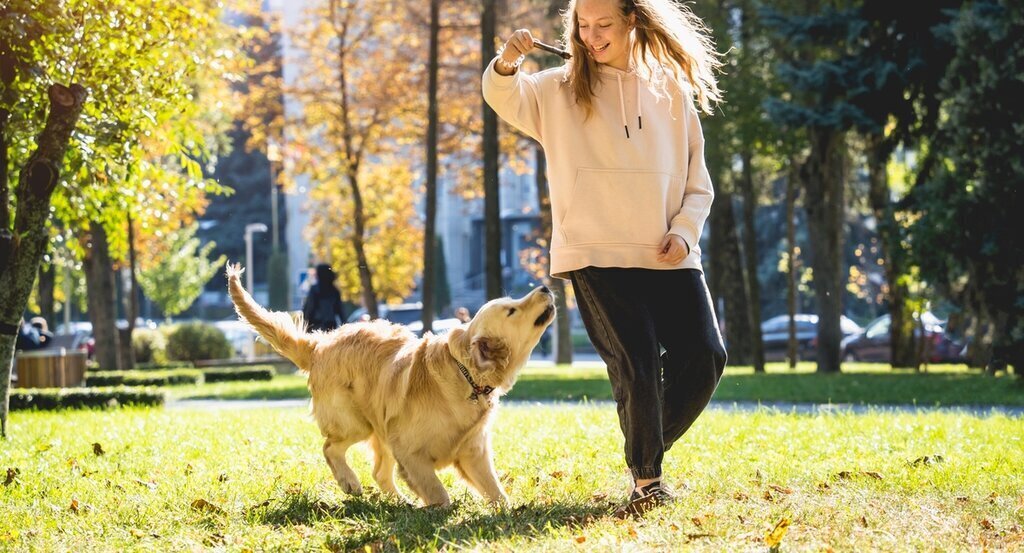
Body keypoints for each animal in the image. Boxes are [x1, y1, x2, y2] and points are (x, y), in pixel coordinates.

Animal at [228, 264, 557, 505]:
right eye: (512, 310)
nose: (544, 287)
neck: (466, 375)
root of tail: (320, 344)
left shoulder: (473, 452)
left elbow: (495, 490)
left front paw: (507, 511)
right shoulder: (410, 452)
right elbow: (438, 492)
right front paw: (440, 511)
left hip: (381, 430)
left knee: (379, 473)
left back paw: (401, 504)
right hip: (356, 423)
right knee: (330, 448)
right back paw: (349, 482)